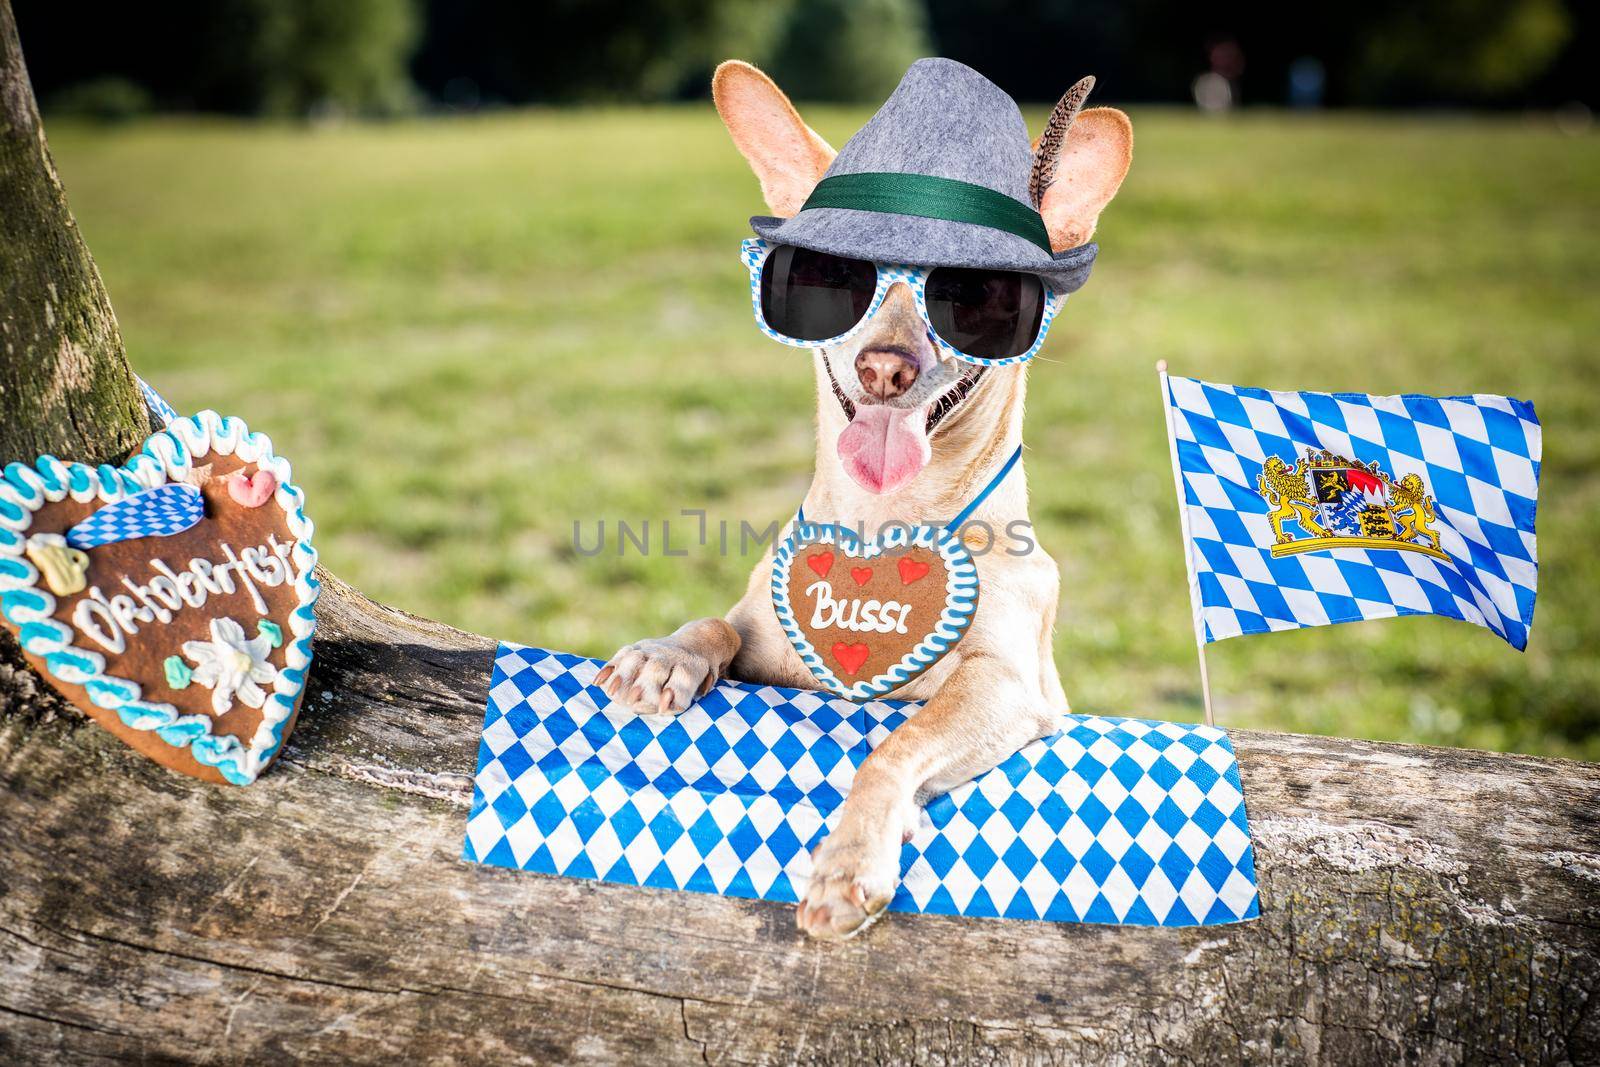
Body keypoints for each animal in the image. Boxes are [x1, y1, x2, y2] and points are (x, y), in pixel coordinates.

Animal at [595, 62, 1132, 940]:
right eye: (828, 278)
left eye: (978, 296)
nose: (886, 367)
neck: (883, 527)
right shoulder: (764, 643)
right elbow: (718, 623)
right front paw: (667, 654)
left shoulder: (1007, 685)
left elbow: (898, 741)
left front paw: (851, 858)